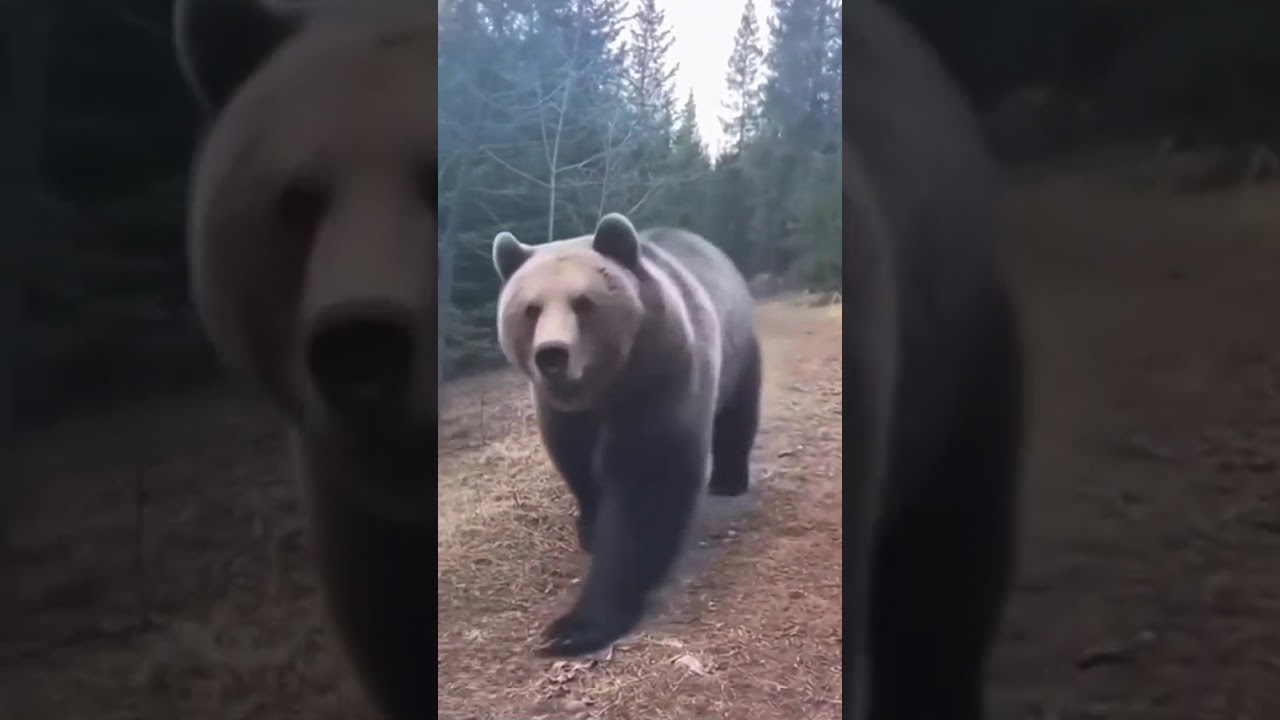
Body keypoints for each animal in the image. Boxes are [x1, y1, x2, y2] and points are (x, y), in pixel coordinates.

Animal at [490, 213, 762, 657]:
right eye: (530, 309)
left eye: (583, 302)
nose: (552, 355)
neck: (600, 391)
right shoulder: (560, 412)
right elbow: (577, 464)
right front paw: (589, 527)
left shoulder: (659, 378)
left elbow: (645, 486)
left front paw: (572, 626)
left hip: (738, 347)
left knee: (738, 413)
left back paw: (729, 478)